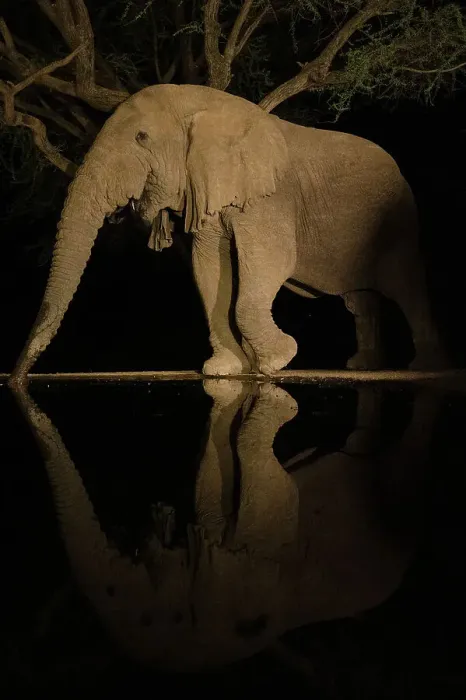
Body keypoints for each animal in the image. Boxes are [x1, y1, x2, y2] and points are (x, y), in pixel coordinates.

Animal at [9, 83, 447, 386]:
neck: (200, 103)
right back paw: (363, 366)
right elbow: (209, 266)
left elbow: (272, 260)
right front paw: (225, 369)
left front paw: (279, 359)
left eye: (141, 138)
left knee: (406, 287)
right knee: (361, 301)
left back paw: (424, 366)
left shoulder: (269, 198)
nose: (16, 380)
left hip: (400, 222)